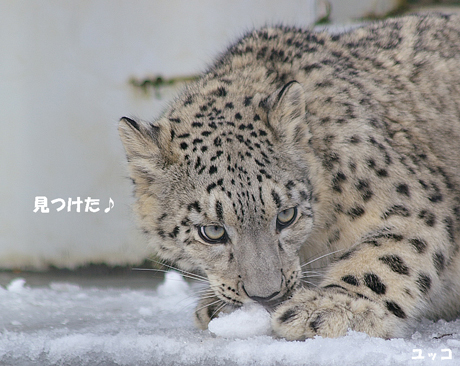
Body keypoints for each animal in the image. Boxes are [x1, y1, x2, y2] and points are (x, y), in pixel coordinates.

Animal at [118, 14, 460, 340]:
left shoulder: (417, 205)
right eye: (212, 231)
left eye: (286, 215)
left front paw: (329, 308)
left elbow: (388, 253)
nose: (266, 295)